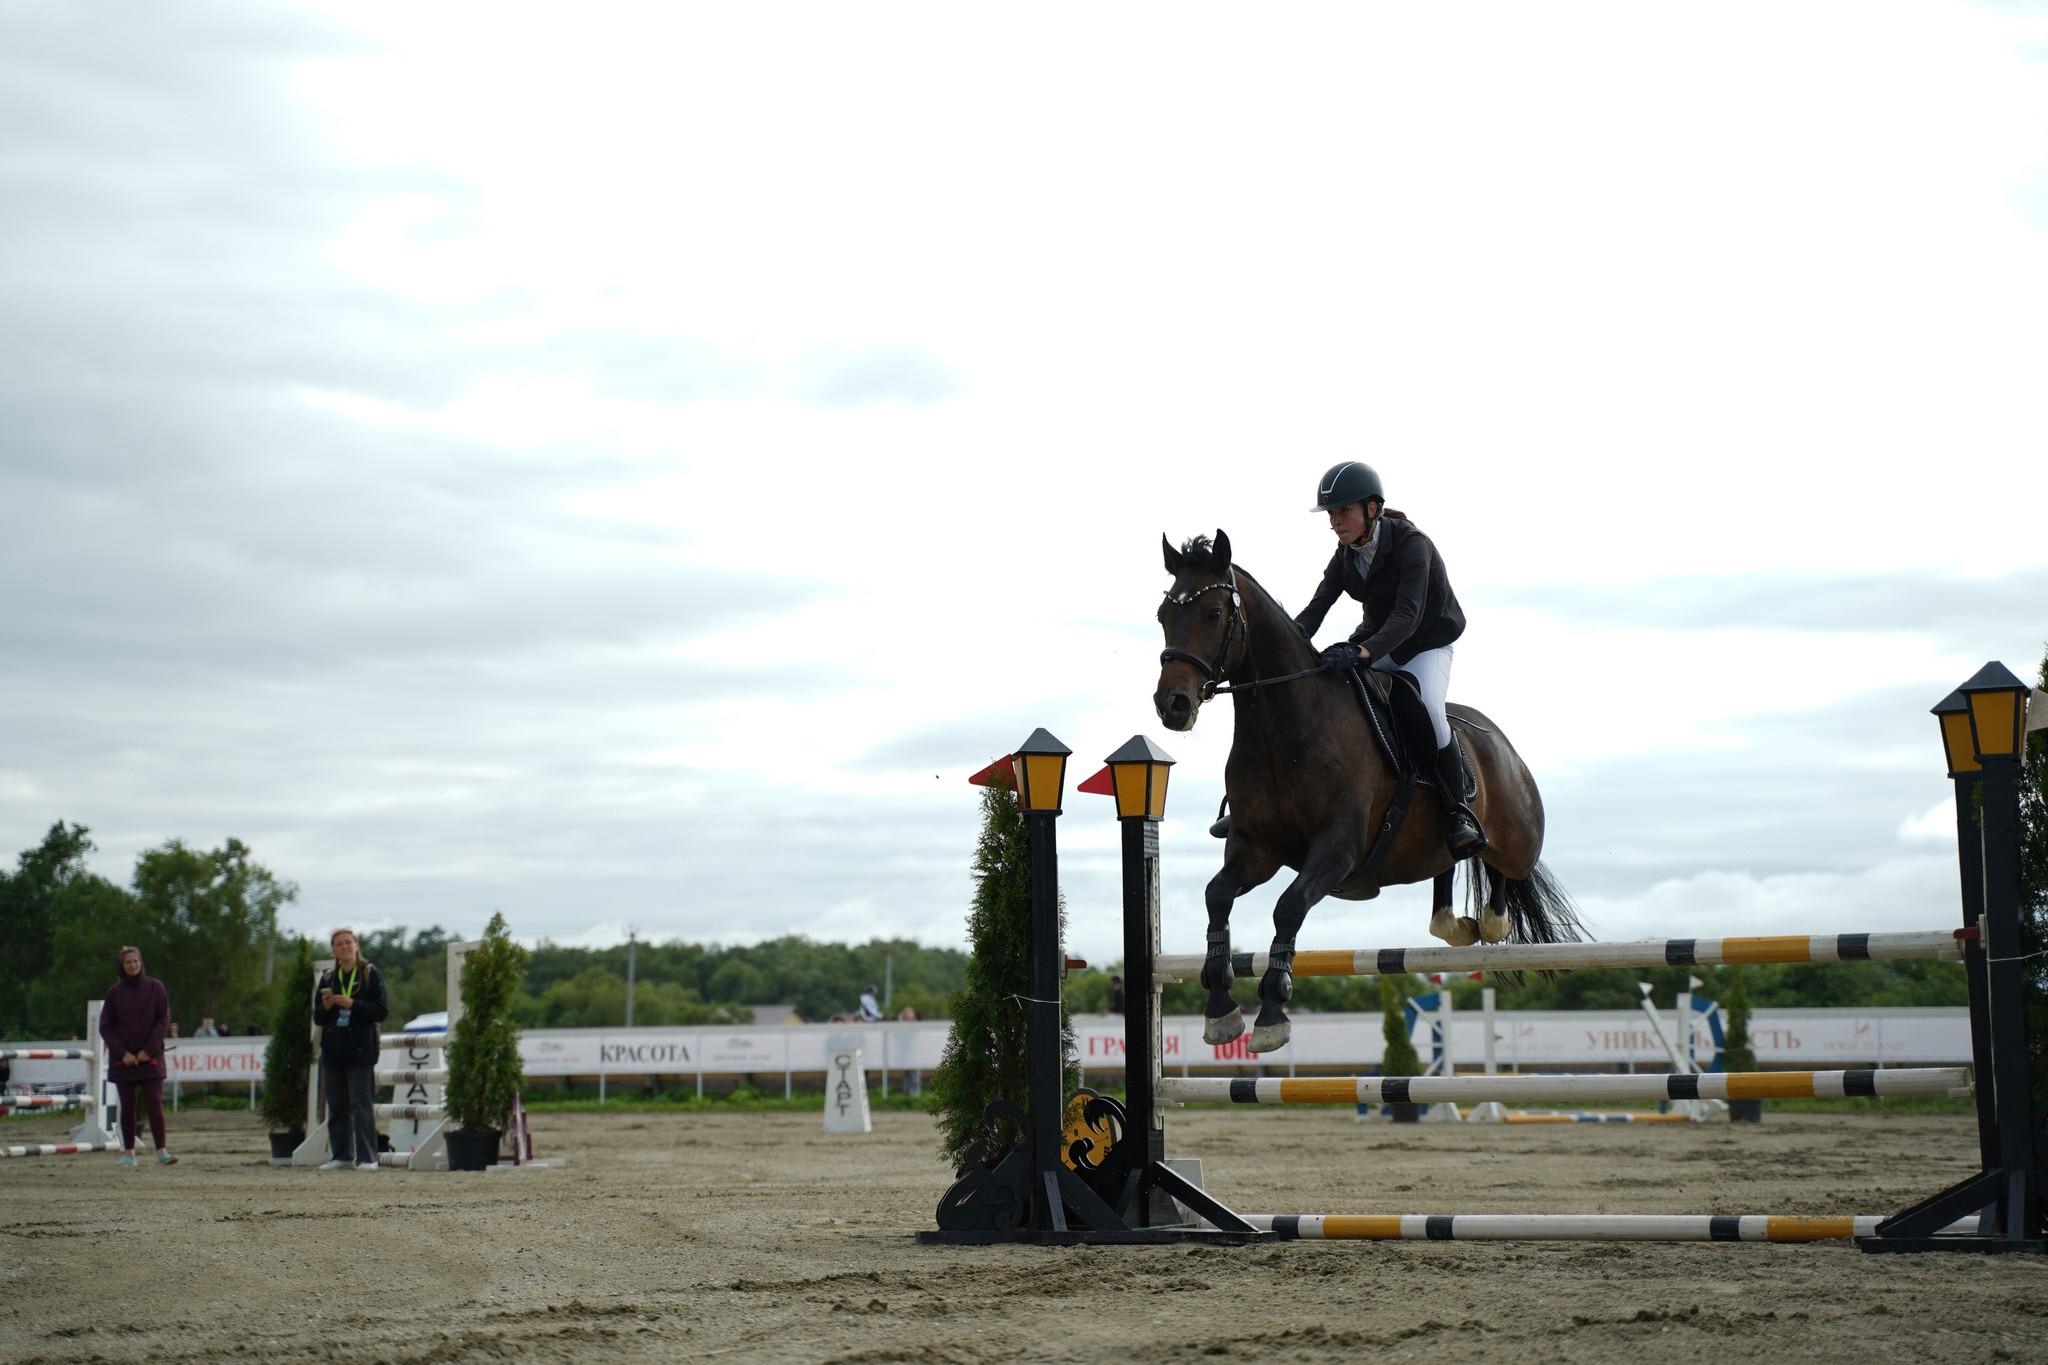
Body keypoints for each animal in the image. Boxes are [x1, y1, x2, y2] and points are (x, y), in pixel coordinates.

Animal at [1155, 527, 1581, 1055]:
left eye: (1213, 614)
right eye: (1163, 615)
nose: (1172, 705)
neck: (1285, 730)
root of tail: (1502, 742)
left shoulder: (1336, 849)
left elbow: (1287, 907)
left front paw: (1273, 1012)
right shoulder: (1256, 849)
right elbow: (1217, 895)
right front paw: (1220, 1010)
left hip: (1516, 838)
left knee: (1503, 868)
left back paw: (1488, 916)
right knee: (1448, 867)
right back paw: (1455, 921)